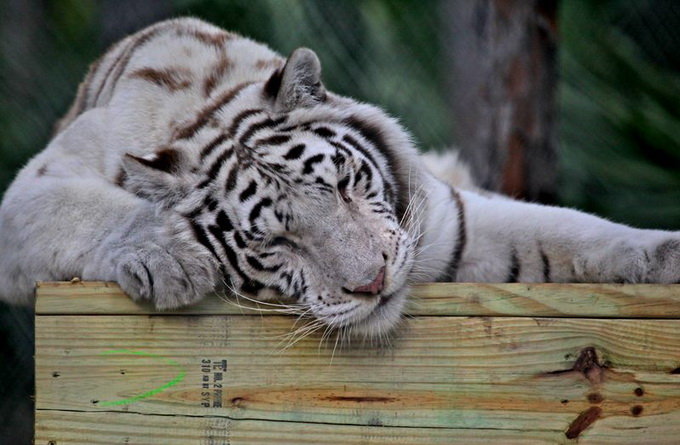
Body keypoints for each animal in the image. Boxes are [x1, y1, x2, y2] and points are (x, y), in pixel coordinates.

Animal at [0, 18, 676, 336]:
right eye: (278, 242)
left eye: (348, 185)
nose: (373, 284)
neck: (205, 109)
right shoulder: (30, 190)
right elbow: (91, 205)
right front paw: (171, 258)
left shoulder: (447, 220)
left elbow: (574, 232)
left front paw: (665, 254)